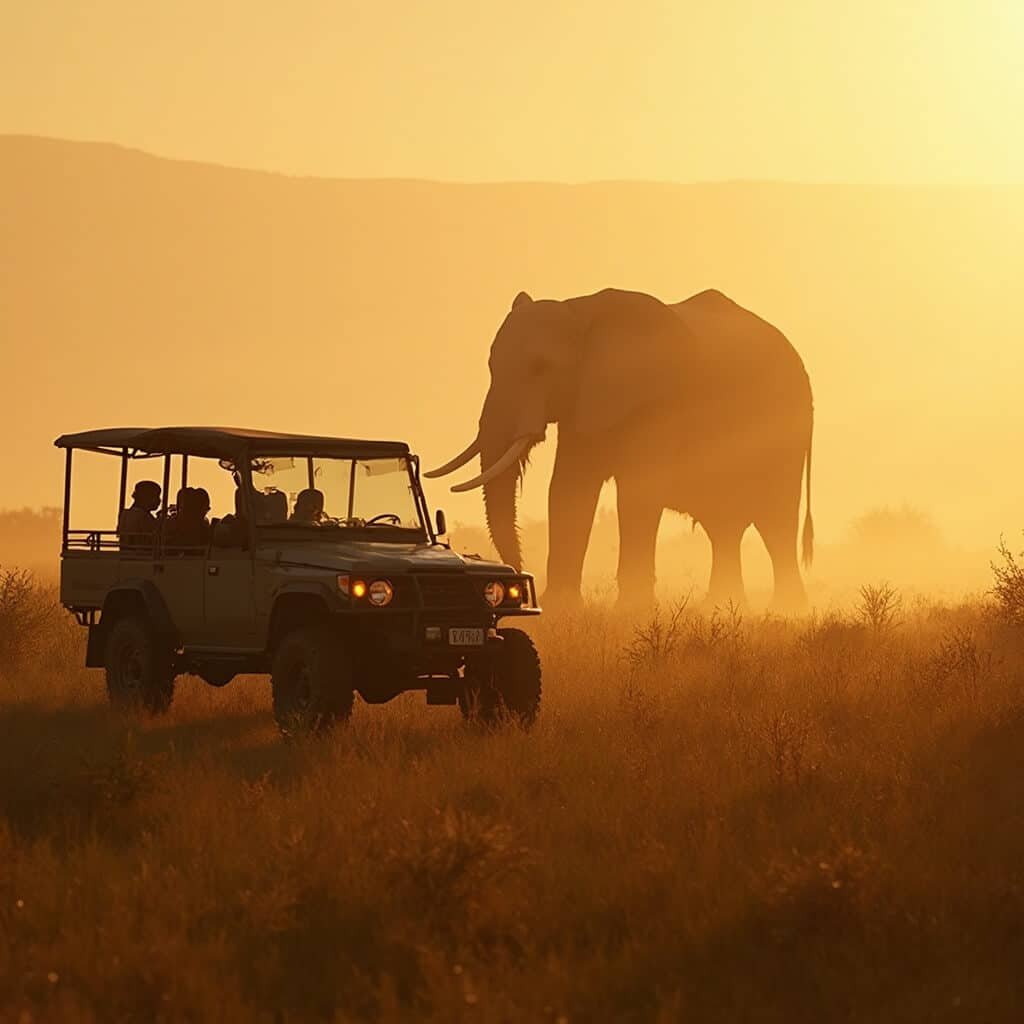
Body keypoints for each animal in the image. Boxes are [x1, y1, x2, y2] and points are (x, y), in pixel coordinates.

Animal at [427, 288, 814, 611]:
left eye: (541, 367)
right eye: (491, 365)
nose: (516, 585)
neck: (580, 312)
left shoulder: (656, 400)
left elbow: (638, 491)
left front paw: (631, 611)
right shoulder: (583, 399)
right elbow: (569, 489)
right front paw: (564, 610)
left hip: (785, 428)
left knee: (775, 520)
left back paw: (785, 612)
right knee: (726, 526)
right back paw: (723, 607)